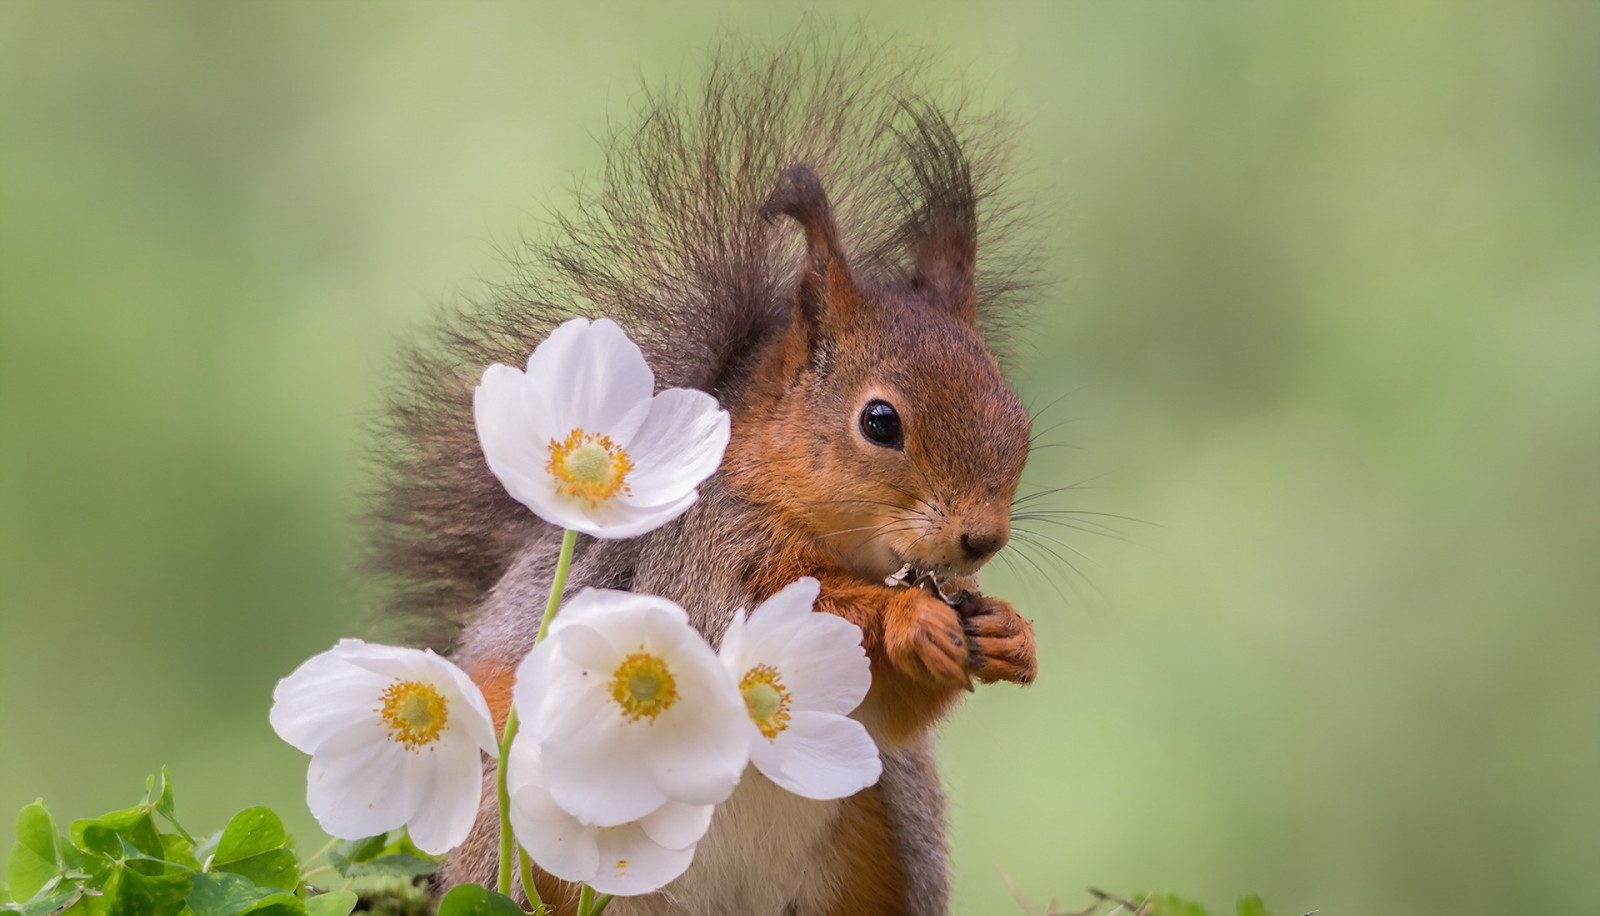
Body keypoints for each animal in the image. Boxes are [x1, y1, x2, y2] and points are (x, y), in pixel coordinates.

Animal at [366, 37, 1036, 916]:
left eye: (1021, 419)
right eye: (880, 422)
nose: (982, 540)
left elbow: (886, 712)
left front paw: (1008, 632)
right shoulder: (699, 561)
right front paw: (909, 619)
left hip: (889, 826)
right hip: (509, 823)